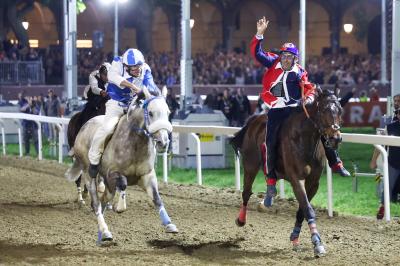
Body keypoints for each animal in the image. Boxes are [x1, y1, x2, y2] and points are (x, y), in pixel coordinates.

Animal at [65, 87, 178, 245]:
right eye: (150, 113)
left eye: (168, 112)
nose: (163, 142)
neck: (135, 143)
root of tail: (84, 127)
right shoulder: (112, 173)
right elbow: (123, 183)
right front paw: (120, 207)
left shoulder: (147, 175)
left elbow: (157, 198)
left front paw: (169, 224)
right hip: (88, 173)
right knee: (96, 203)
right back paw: (105, 231)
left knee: (103, 201)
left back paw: (101, 234)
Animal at [231, 88, 344, 256]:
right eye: (324, 110)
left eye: (340, 111)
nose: (335, 138)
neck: (304, 139)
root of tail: (255, 120)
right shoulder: (297, 179)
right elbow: (308, 209)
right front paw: (317, 242)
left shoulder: (313, 183)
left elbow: (303, 209)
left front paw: (295, 237)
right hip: (250, 164)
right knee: (246, 193)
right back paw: (241, 219)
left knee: (269, 180)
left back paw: (266, 201)